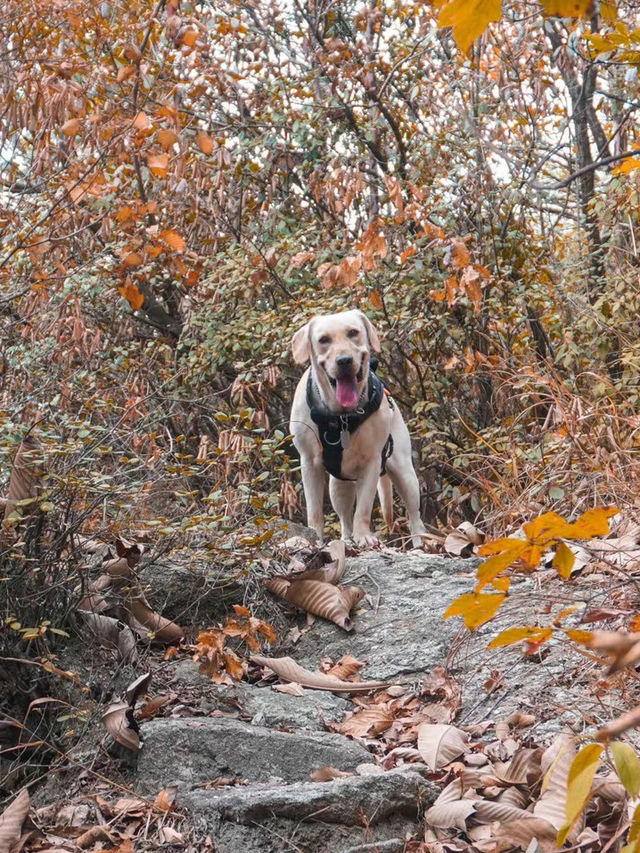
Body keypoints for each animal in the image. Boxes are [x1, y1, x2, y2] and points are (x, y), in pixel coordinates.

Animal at [292, 306, 428, 544]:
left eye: (353, 333)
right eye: (323, 340)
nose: (344, 360)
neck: (341, 417)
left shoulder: (372, 462)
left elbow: (363, 508)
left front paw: (364, 536)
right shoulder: (309, 463)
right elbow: (315, 511)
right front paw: (315, 538)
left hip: (405, 473)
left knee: (415, 516)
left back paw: (421, 543)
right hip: (338, 485)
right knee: (345, 518)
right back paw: (347, 540)